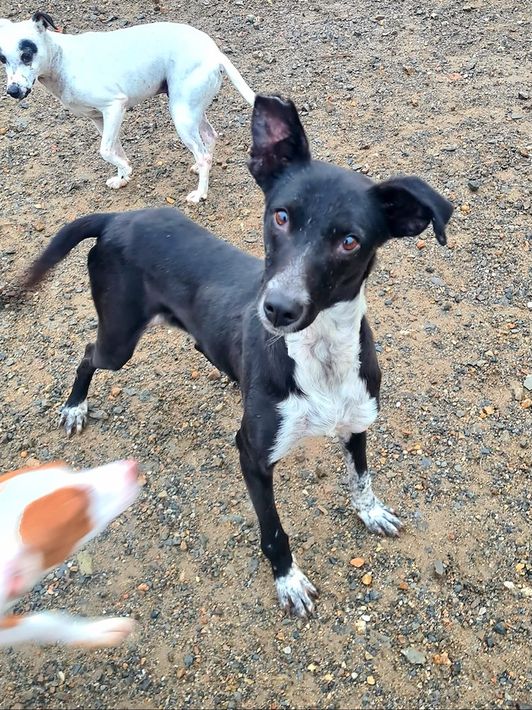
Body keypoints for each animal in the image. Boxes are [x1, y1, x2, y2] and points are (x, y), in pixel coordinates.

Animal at [0, 11, 255, 202]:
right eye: (2, 59)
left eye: (27, 54)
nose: (12, 91)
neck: (61, 59)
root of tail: (214, 52)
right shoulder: (100, 119)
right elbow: (115, 148)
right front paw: (122, 176)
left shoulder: (114, 107)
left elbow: (105, 150)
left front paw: (126, 168)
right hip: (191, 110)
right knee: (209, 137)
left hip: (181, 114)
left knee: (202, 155)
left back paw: (200, 193)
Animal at [24, 95, 453, 617]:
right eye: (281, 216)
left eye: (350, 241)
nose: (278, 309)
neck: (321, 356)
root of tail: (116, 218)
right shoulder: (252, 455)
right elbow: (274, 530)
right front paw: (288, 579)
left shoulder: (356, 423)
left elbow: (362, 479)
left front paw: (370, 513)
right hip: (118, 339)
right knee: (88, 353)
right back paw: (74, 408)